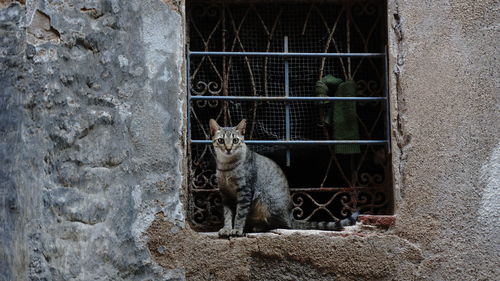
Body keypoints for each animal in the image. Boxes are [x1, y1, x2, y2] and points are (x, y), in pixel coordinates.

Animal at [208, 118, 360, 236]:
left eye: (235, 140)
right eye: (221, 140)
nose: (228, 149)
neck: (227, 166)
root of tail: (290, 216)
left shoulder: (245, 192)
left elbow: (240, 215)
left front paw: (237, 230)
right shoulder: (225, 195)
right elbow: (228, 215)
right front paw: (227, 229)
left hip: (265, 202)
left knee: (280, 225)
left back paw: (259, 227)